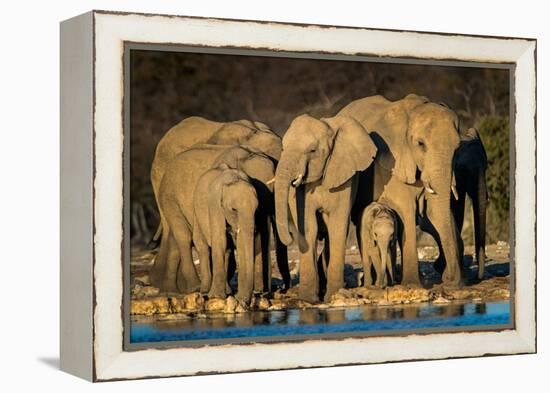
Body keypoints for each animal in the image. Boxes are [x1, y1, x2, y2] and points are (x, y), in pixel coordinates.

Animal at [194, 164, 260, 302]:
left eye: (256, 210)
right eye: (234, 210)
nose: (245, 300)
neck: (233, 180)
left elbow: (239, 244)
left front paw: (239, 298)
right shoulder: (215, 206)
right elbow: (220, 239)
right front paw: (217, 297)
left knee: (228, 250)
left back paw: (228, 291)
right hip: (195, 213)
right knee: (202, 246)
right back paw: (206, 291)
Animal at [276, 113, 380, 300]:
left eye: (312, 151)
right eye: (283, 148)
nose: (290, 236)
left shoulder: (344, 181)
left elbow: (337, 226)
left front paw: (334, 295)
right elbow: (309, 226)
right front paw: (308, 299)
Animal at [342, 94, 464, 284]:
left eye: (457, 148)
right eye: (420, 144)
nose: (448, 278)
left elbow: (434, 211)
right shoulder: (391, 163)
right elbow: (405, 209)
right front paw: (412, 284)